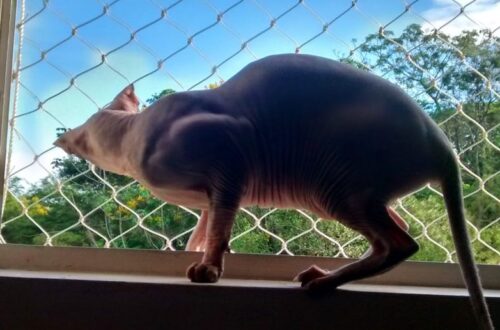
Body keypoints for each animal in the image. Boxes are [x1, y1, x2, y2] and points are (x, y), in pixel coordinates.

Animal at [53, 54, 492, 330]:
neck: (132, 133)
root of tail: (441, 143)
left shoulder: (229, 154)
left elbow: (220, 224)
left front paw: (209, 268)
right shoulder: (214, 190)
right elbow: (208, 221)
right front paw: (195, 250)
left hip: (332, 184)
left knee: (401, 243)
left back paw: (325, 283)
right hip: (350, 193)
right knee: (395, 234)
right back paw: (327, 275)